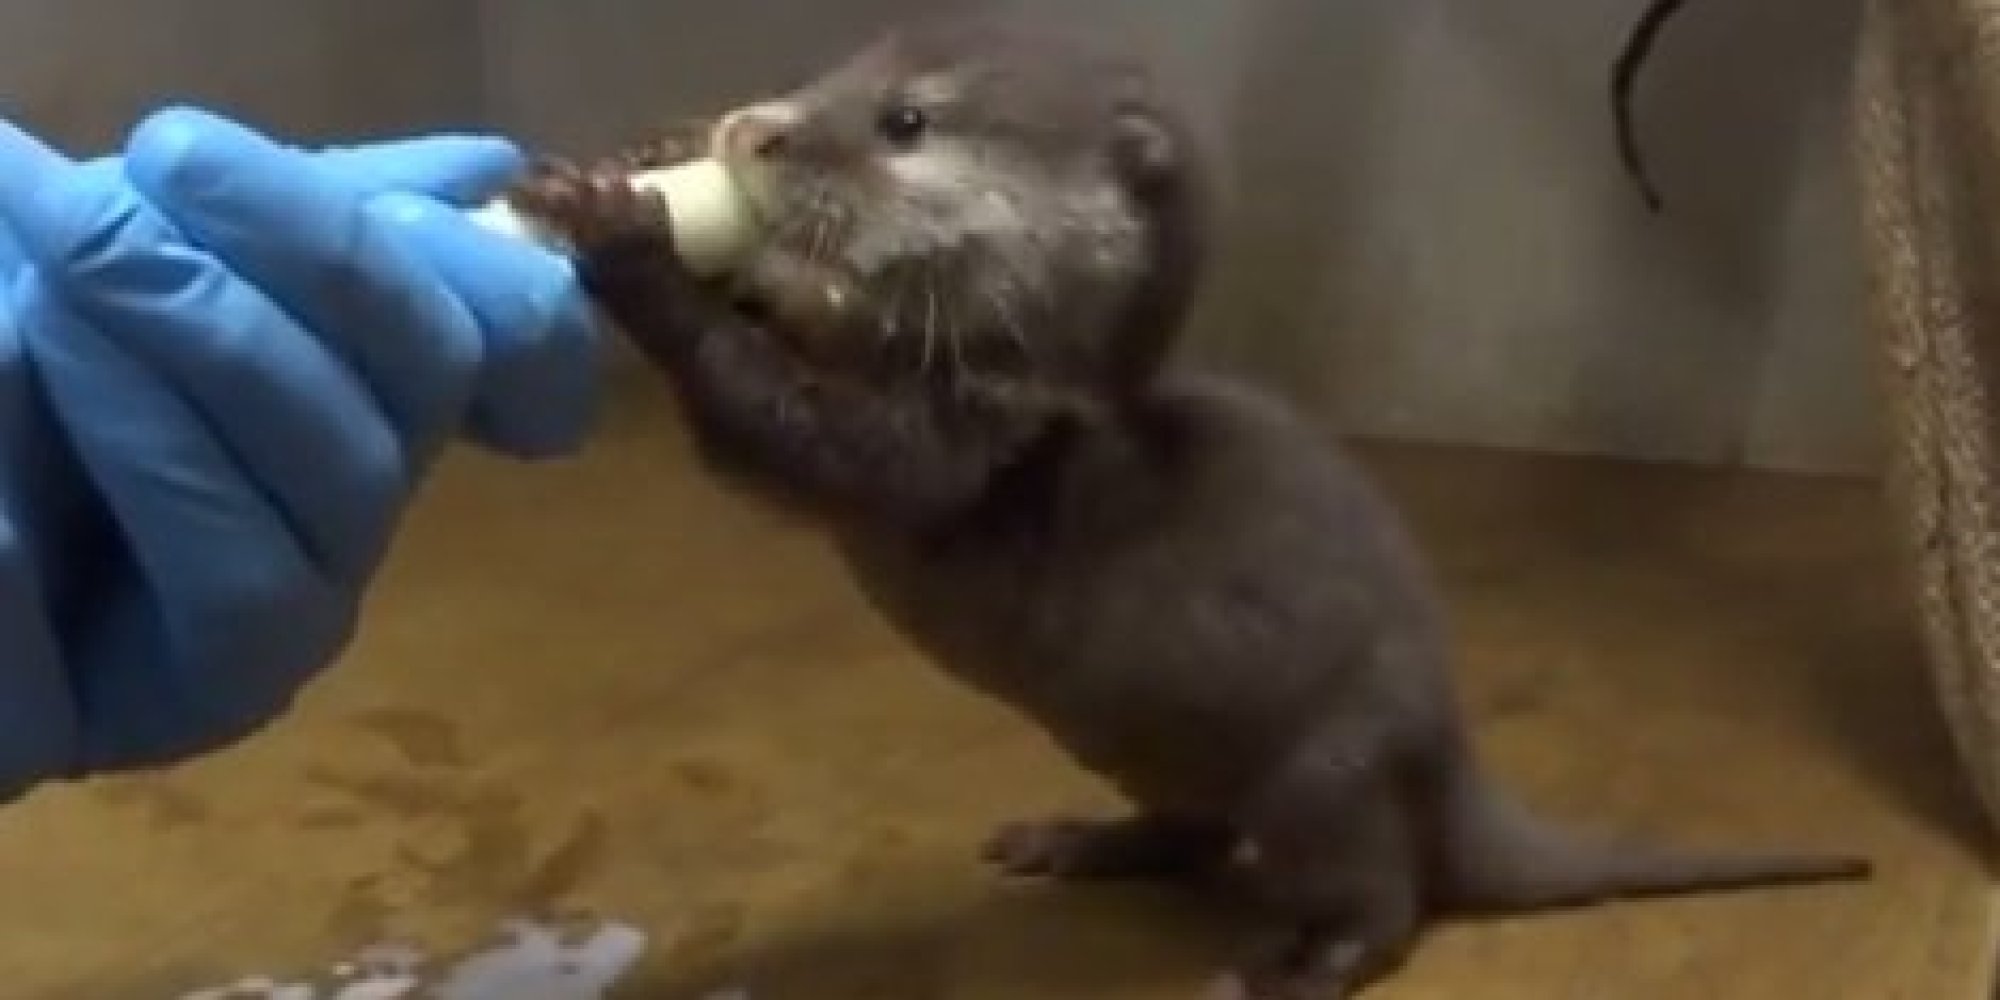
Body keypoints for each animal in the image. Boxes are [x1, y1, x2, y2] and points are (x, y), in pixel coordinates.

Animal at [505, 13, 1869, 999]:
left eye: (903, 122)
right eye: (833, 69)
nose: (755, 130)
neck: (1029, 363)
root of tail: (1448, 752)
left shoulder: (967, 439)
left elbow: (805, 445)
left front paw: (627, 233)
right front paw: (649, 160)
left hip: (1327, 772)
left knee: (1384, 898)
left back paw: (1298, 967)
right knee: (1199, 832)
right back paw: (1081, 843)